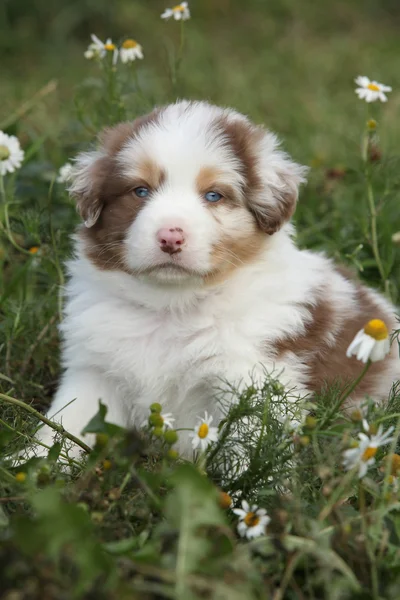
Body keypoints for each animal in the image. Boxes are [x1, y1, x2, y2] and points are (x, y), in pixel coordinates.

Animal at [32, 99, 396, 454]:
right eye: (140, 191)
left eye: (213, 196)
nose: (170, 237)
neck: (171, 305)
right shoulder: (94, 369)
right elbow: (64, 425)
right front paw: (30, 459)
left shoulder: (249, 385)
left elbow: (246, 455)